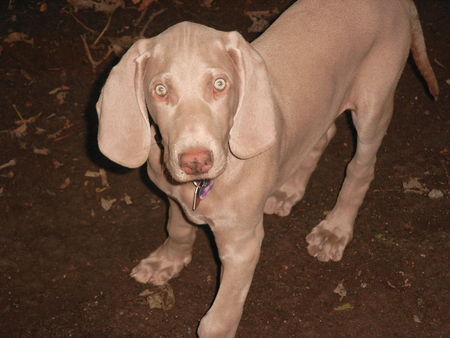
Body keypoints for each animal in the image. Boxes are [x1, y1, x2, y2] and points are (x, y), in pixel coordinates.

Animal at [96, 0, 438, 336]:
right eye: (160, 90)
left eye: (220, 84)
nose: (195, 162)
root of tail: (399, 3)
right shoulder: (174, 196)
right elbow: (177, 228)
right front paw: (168, 261)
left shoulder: (242, 244)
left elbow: (217, 322)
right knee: (323, 134)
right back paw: (288, 191)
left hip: (373, 104)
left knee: (361, 167)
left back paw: (334, 230)